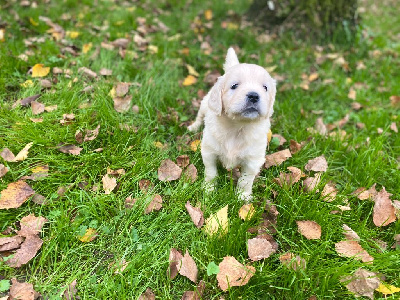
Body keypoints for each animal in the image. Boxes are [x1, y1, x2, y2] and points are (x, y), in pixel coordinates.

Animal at [189, 47, 276, 202]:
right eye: (234, 86)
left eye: (265, 88)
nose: (254, 95)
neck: (238, 126)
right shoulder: (209, 152)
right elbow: (211, 172)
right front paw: (209, 190)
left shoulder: (253, 160)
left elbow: (245, 180)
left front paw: (243, 196)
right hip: (205, 104)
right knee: (199, 116)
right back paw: (193, 127)